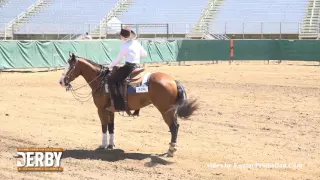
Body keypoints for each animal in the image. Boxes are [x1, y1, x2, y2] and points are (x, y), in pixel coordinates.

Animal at [57, 52, 198, 157]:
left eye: (70, 67)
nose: (61, 81)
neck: (101, 81)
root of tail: (173, 80)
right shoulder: (110, 110)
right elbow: (111, 127)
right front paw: (111, 145)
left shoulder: (101, 109)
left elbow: (104, 126)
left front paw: (103, 146)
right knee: (176, 126)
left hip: (165, 110)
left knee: (174, 127)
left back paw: (171, 150)